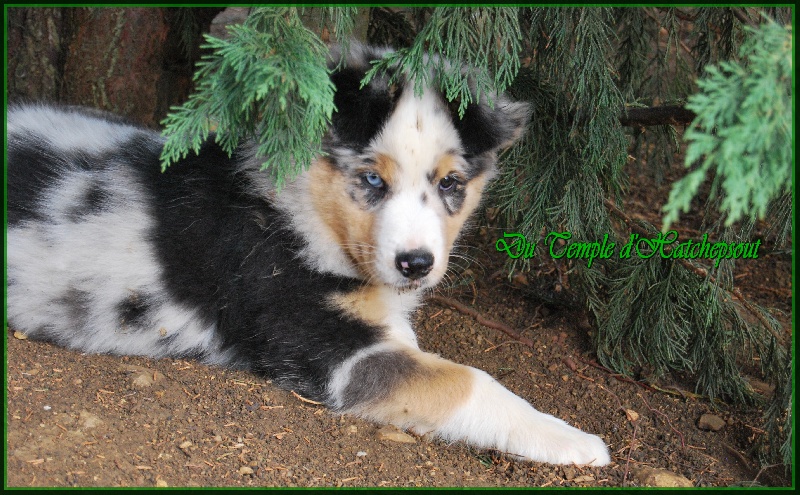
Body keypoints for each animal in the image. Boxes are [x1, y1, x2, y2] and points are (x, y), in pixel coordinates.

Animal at [6, 44, 608, 466]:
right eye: (371, 179)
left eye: (450, 184)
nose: (415, 265)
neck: (298, 213)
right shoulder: (331, 348)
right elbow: (466, 380)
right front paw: (574, 440)